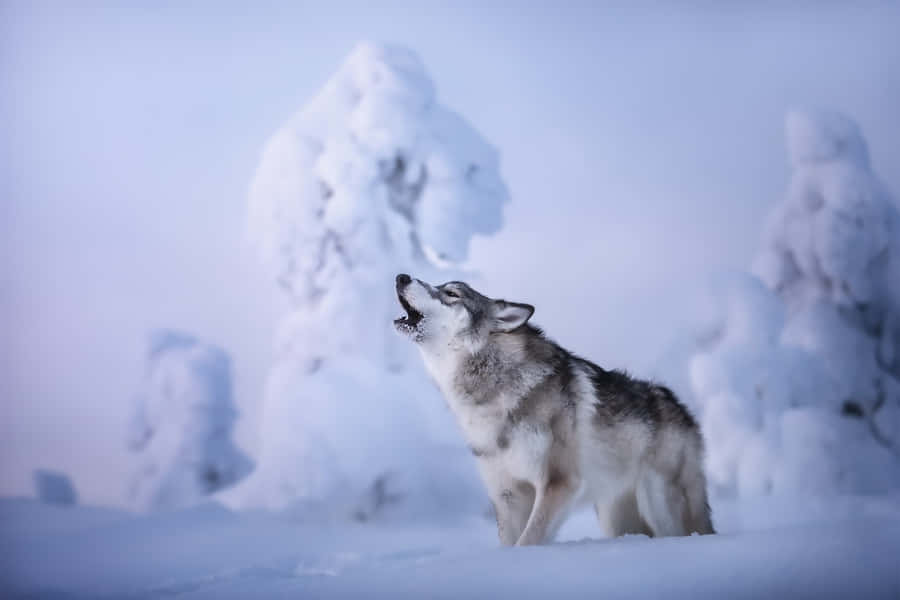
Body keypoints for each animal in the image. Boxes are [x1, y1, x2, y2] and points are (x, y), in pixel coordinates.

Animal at [393, 273, 714, 546]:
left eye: (451, 293)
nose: (401, 277)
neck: (491, 391)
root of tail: (683, 410)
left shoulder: (558, 483)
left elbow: (528, 541)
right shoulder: (508, 496)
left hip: (660, 506)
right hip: (615, 517)